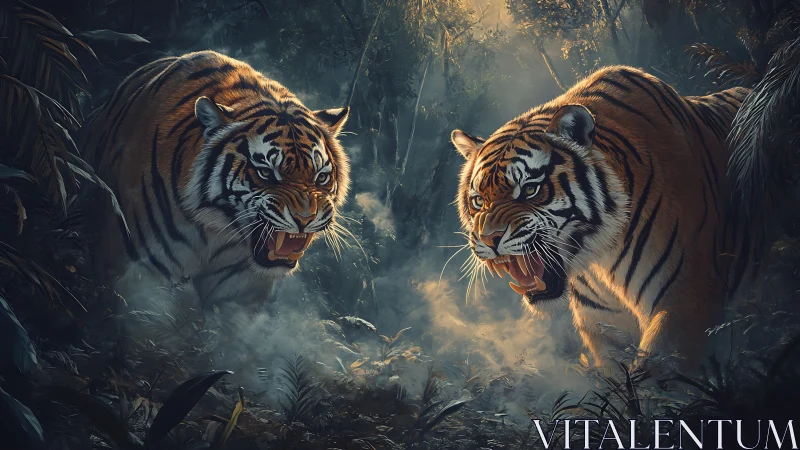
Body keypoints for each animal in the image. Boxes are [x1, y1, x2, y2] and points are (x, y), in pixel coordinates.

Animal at [80, 50, 351, 309]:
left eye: (321, 177)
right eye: (265, 172)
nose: (305, 220)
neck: (214, 229)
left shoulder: (242, 288)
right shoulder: (139, 275)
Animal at [450, 65, 763, 370]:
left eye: (530, 189)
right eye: (478, 201)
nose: (490, 239)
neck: (601, 259)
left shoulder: (684, 302)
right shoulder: (604, 328)